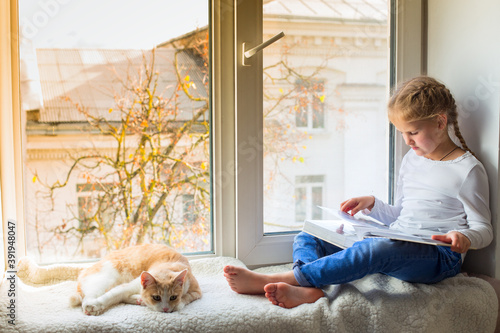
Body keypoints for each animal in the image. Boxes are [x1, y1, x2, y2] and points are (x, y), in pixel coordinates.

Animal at [69, 241, 202, 314]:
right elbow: (111, 296)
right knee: (88, 297)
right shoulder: (129, 286)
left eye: (173, 297)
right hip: (104, 280)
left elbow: (185, 299)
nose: (165, 309)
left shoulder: (196, 291)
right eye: (156, 297)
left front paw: (176, 304)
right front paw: (95, 305)